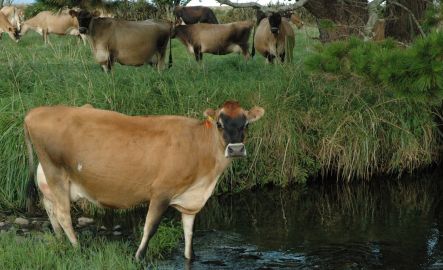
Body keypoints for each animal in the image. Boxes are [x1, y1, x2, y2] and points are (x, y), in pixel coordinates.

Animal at [24, 100, 266, 260]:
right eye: (219, 123)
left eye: (246, 124)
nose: (236, 149)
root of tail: (35, 111)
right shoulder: (161, 192)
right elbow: (150, 227)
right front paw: (138, 257)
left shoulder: (190, 201)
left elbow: (189, 236)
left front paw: (189, 257)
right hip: (55, 173)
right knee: (63, 214)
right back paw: (77, 249)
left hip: (51, 178)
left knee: (51, 210)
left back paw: (60, 242)